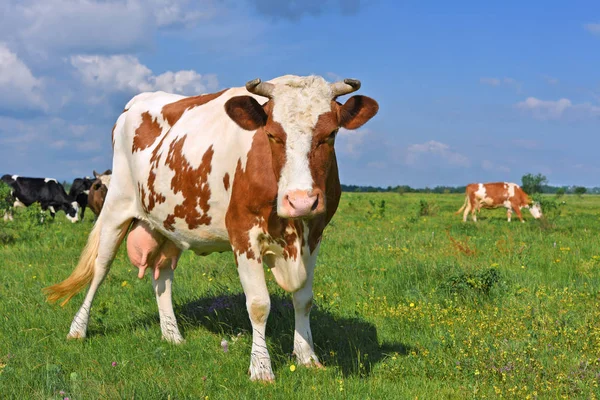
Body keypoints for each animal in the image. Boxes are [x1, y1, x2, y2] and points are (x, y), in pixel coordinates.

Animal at [44, 74, 378, 382]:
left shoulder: (314, 233)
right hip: (117, 205)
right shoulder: (243, 233)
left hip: (169, 223)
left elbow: (304, 299)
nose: (301, 201)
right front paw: (261, 369)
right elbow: (259, 304)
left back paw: (172, 335)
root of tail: (135, 103)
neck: (293, 229)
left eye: (331, 134)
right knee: (101, 267)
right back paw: (78, 329)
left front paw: (308, 357)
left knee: (162, 276)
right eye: (271, 134)